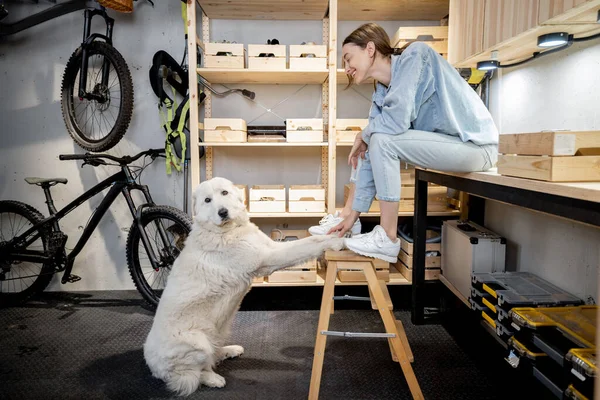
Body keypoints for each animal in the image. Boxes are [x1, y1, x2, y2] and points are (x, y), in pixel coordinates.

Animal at [142, 177, 344, 396]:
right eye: (207, 200)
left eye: (224, 193)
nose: (222, 212)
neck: (226, 229)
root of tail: (154, 368)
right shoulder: (269, 258)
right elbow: (306, 246)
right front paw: (337, 241)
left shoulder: (271, 247)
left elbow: (310, 240)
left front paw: (336, 235)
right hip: (198, 343)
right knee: (195, 374)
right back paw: (214, 379)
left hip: (220, 330)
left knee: (213, 354)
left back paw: (229, 351)